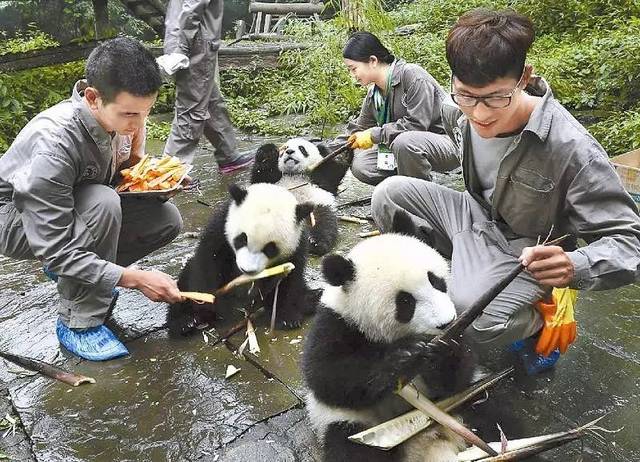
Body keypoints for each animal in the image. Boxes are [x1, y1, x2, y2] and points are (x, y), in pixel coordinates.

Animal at [168, 182, 318, 338]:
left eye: (270, 248)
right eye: (242, 239)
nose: (248, 270)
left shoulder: (298, 245)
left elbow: (290, 280)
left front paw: (287, 318)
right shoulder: (220, 228)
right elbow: (207, 264)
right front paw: (207, 306)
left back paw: (311, 299)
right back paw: (185, 322)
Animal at [304, 211, 476, 460]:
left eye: (436, 281)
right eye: (405, 302)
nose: (446, 323)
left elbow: (457, 378)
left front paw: (447, 349)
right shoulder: (337, 324)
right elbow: (327, 377)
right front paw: (405, 355)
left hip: (461, 403)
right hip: (353, 424)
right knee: (350, 447)